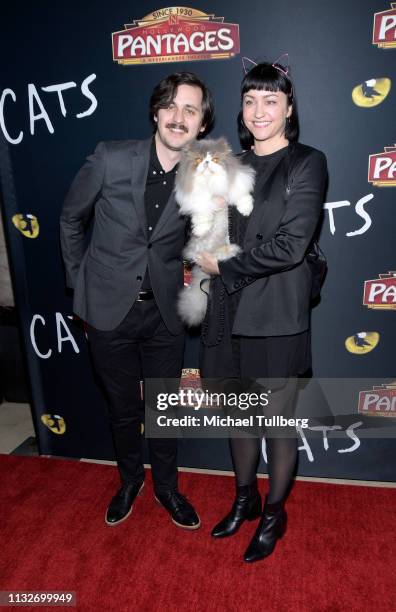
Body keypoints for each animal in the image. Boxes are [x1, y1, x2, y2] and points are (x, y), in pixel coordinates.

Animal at [175, 137, 255, 328]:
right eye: (198, 160)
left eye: (215, 159)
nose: (206, 162)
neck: (210, 184)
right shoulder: (198, 202)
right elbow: (203, 212)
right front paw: (201, 228)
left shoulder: (234, 185)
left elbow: (241, 195)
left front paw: (246, 209)